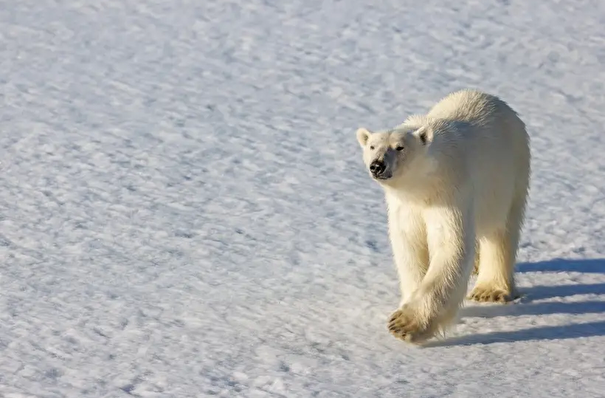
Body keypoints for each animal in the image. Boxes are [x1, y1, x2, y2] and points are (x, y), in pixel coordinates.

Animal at [356, 88, 532, 344]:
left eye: (399, 147)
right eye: (372, 146)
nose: (378, 165)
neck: (422, 187)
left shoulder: (450, 190)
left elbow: (450, 245)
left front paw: (404, 324)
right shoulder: (406, 206)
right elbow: (410, 245)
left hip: (509, 175)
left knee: (501, 232)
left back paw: (490, 290)